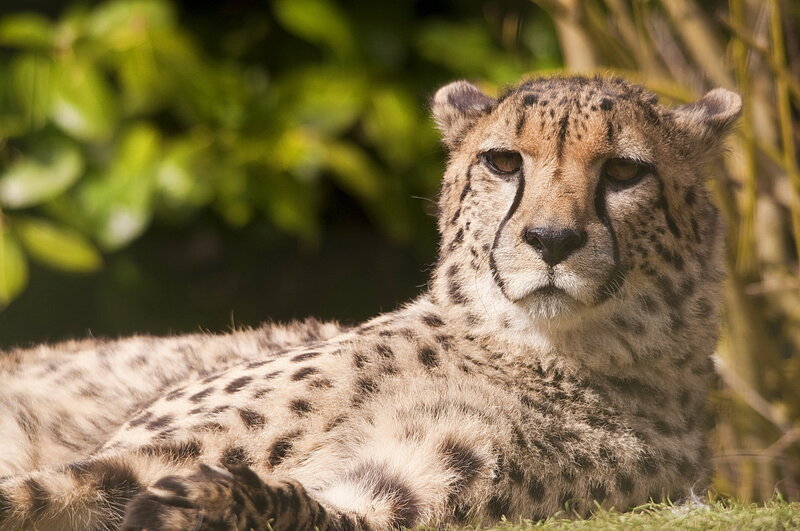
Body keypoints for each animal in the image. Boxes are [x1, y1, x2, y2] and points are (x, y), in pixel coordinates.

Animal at [0, 75, 741, 530]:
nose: (552, 240)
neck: (536, 352)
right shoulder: (140, 453)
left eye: (624, 171)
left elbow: (317, 510)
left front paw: (211, 501)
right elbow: (39, 491)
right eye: (503, 163)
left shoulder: (413, 492)